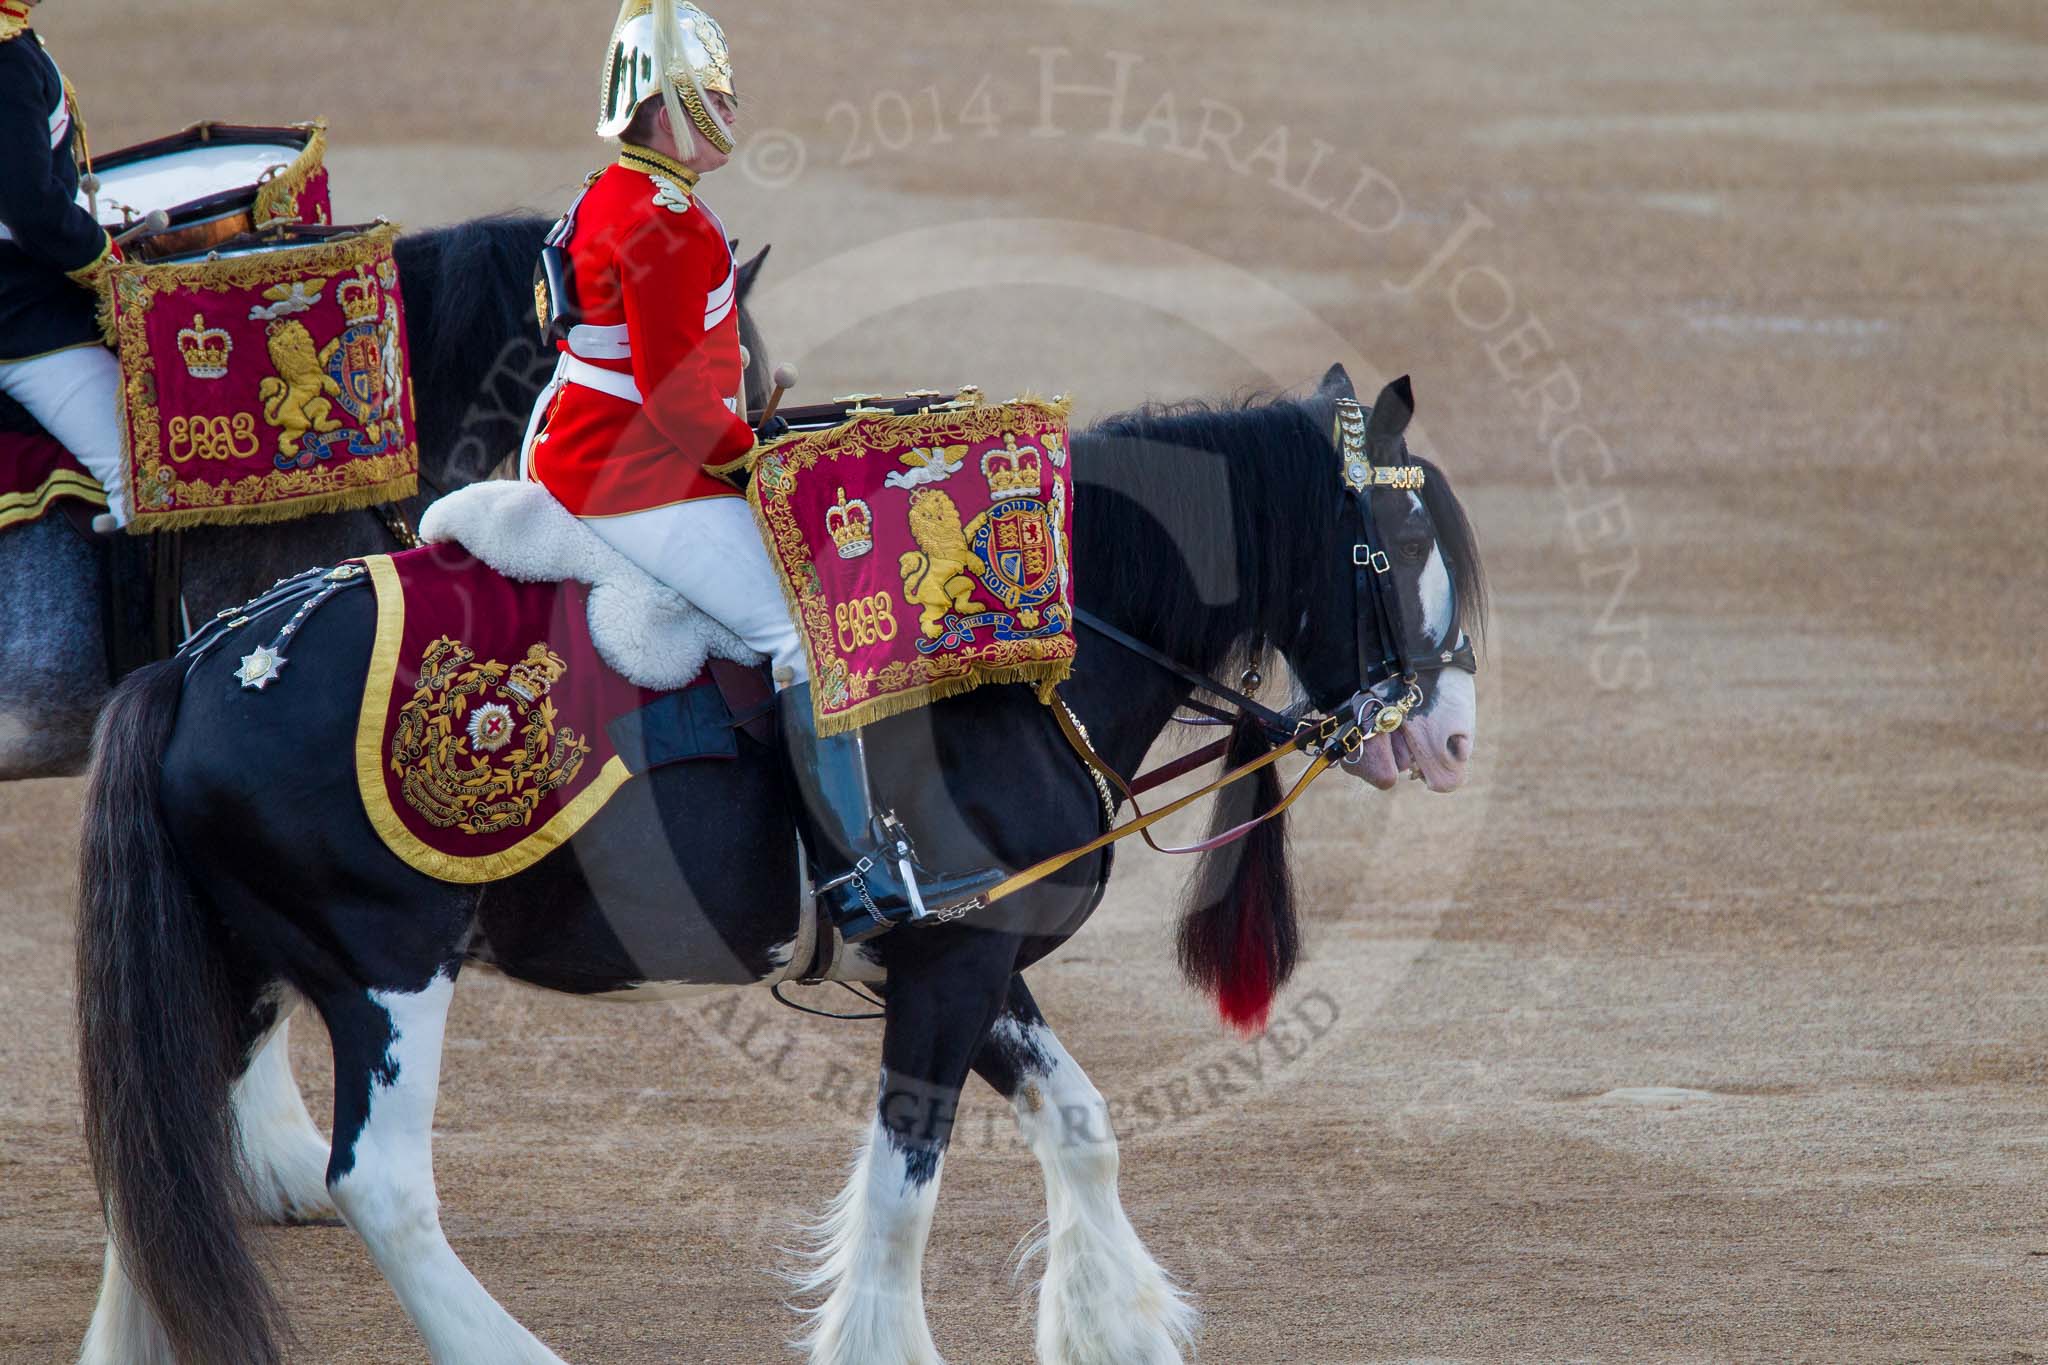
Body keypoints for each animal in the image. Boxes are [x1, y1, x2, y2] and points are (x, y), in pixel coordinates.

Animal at [72, 366, 1482, 1365]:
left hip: (242, 966)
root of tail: (198, 663)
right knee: (377, 1186)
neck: (1019, 655)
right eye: (1402, 548)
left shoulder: (966, 957)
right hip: (387, 974)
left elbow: (1080, 1128)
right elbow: (907, 1189)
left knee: (163, 1164)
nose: (1455, 738)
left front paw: (1116, 1332)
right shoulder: (949, 964)